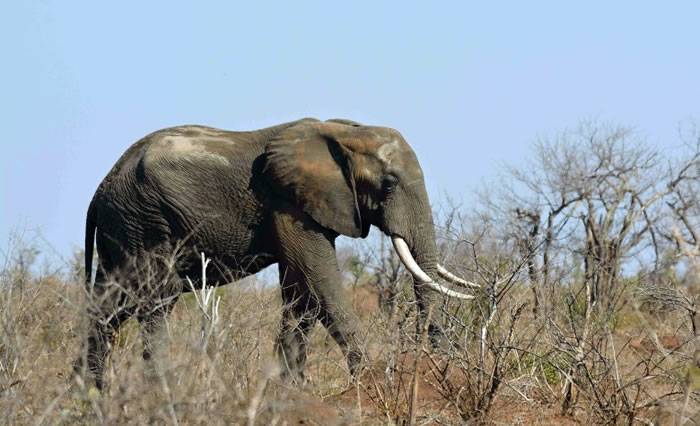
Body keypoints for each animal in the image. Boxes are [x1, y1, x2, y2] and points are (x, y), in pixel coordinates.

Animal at [76, 116, 476, 390]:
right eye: (389, 184)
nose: (435, 364)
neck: (342, 132)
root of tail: (101, 187)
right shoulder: (289, 204)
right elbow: (321, 282)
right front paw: (371, 382)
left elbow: (300, 291)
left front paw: (291, 391)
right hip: (144, 222)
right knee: (156, 299)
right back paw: (159, 393)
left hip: (124, 229)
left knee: (111, 304)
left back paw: (90, 395)